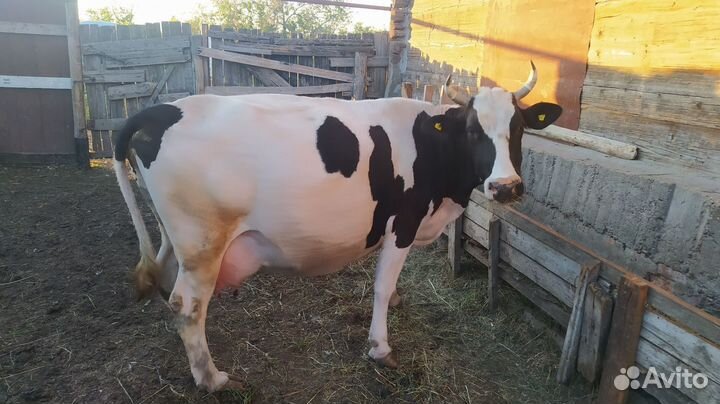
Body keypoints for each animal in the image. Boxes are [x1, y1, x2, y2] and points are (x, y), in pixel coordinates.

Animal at [112, 62, 561, 392]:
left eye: (518, 128)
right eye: (472, 130)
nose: (505, 186)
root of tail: (160, 110)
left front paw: (396, 303)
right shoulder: (404, 221)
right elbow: (380, 285)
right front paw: (380, 347)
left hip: (177, 239)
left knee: (169, 283)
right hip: (203, 241)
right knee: (187, 305)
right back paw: (212, 378)